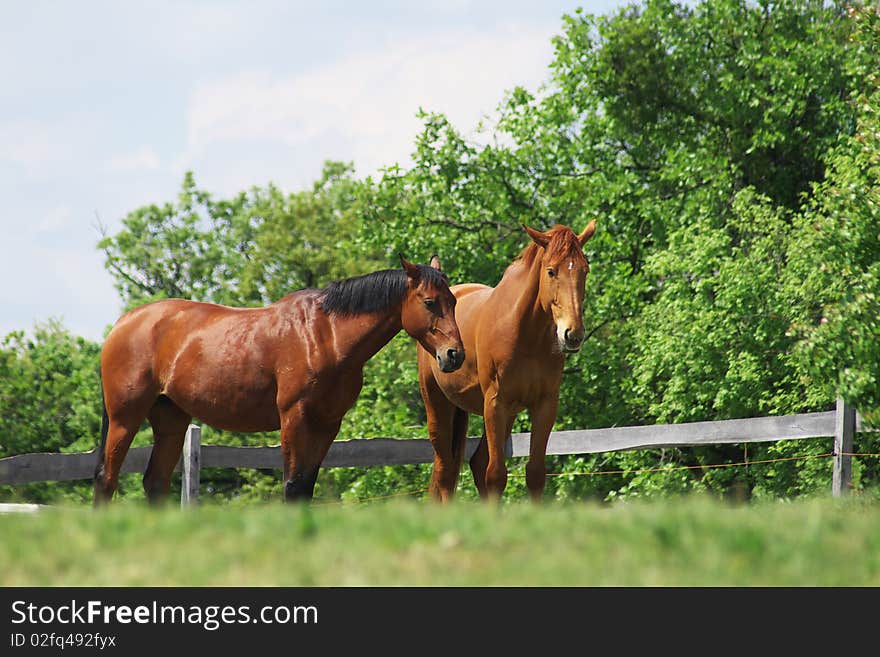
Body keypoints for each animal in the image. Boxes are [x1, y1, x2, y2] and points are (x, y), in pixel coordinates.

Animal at [94, 255, 468, 502]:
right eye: (430, 302)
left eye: (453, 301)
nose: (454, 355)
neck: (325, 336)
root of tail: (124, 323)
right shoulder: (294, 418)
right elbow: (291, 485)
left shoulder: (326, 424)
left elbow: (305, 487)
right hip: (125, 417)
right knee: (105, 478)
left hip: (171, 419)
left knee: (155, 482)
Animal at [420, 222, 600, 502]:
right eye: (551, 271)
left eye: (585, 270)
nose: (573, 334)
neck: (525, 333)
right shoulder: (495, 403)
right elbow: (496, 474)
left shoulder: (545, 404)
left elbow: (535, 473)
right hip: (438, 405)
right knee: (445, 471)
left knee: (475, 463)